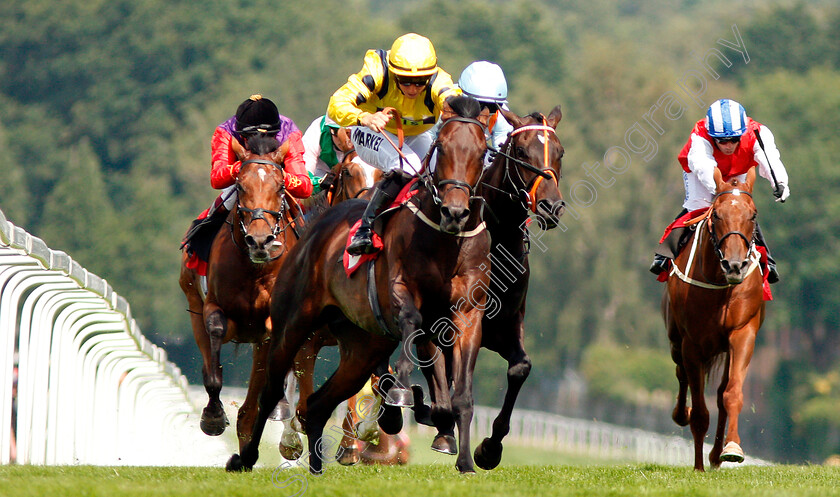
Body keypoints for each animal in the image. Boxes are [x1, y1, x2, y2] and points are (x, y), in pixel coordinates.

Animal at [179, 132, 304, 450]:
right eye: (240, 185)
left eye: (281, 186)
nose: (260, 241)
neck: (253, 269)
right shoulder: (214, 308)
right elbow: (214, 341)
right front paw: (212, 416)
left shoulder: (270, 325)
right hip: (192, 299)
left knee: (249, 410)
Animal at [226, 96, 496, 472]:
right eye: (442, 147)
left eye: (482, 150)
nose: (455, 211)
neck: (446, 240)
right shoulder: (396, 294)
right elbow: (410, 322)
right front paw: (403, 389)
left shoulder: (468, 316)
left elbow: (461, 396)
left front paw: (466, 461)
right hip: (292, 325)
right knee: (273, 392)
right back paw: (247, 456)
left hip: (359, 349)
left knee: (319, 404)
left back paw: (320, 462)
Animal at [410, 104, 568, 468]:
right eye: (521, 152)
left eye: (560, 152)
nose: (551, 207)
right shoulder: (440, 322)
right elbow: (442, 381)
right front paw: (442, 424)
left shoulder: (501, 326)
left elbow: (520, 368)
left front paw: (489, 447)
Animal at [664, 166, 768, 468]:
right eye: (717, 214)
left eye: (753, 215)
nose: (734, 265)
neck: (721, 285)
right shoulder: (692, 344)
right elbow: (699, 411)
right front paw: (698, 467)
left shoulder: (743, 334)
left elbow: (731, 394)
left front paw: (731, 448)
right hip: (675, 340)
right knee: (681, 373)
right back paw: (682, 416)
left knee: (721, 393)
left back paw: (716, 454)